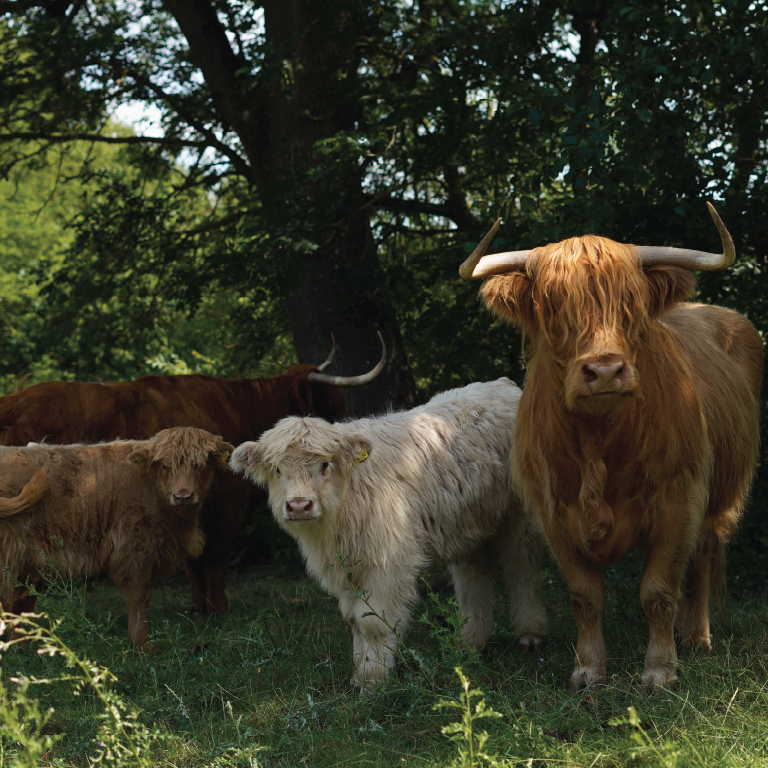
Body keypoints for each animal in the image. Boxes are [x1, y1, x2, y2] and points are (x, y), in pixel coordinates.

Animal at [0, 337, 385, 615]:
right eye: (329, 406)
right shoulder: (224, 505)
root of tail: (13, 401)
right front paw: (219, 610)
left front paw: (201, 609)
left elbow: (195, 562)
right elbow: (214, 558)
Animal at [0, 427, 234, 647]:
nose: (183, 496)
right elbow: (139, 595)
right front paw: (142, 643)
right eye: (165, 466)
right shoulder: (135, 546)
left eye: (200, 465)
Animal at [230, 379, 548, 690]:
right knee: (473, 577)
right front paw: (358, 676)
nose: (298, 506)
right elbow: (353, 619)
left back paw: (529, 635)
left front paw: (373, 680)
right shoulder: (348, 569)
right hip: (471, 525)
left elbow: (373, 622)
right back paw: (470, 642)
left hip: (519, 517)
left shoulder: (388, 563)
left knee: (522, 566)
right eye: (276, 468)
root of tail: (501, 384)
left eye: (324, 464)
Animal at [458, 203, 763, 690]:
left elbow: (657, 589)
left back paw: (697, 635)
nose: (604, 370)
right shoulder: (553, 511)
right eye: (552, 304)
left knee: (704, 559)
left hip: (722, 496)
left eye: (631, 303)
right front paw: (587, 670)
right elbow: (585, 594)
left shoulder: (680, 498)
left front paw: (660, 670)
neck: (597, 446)